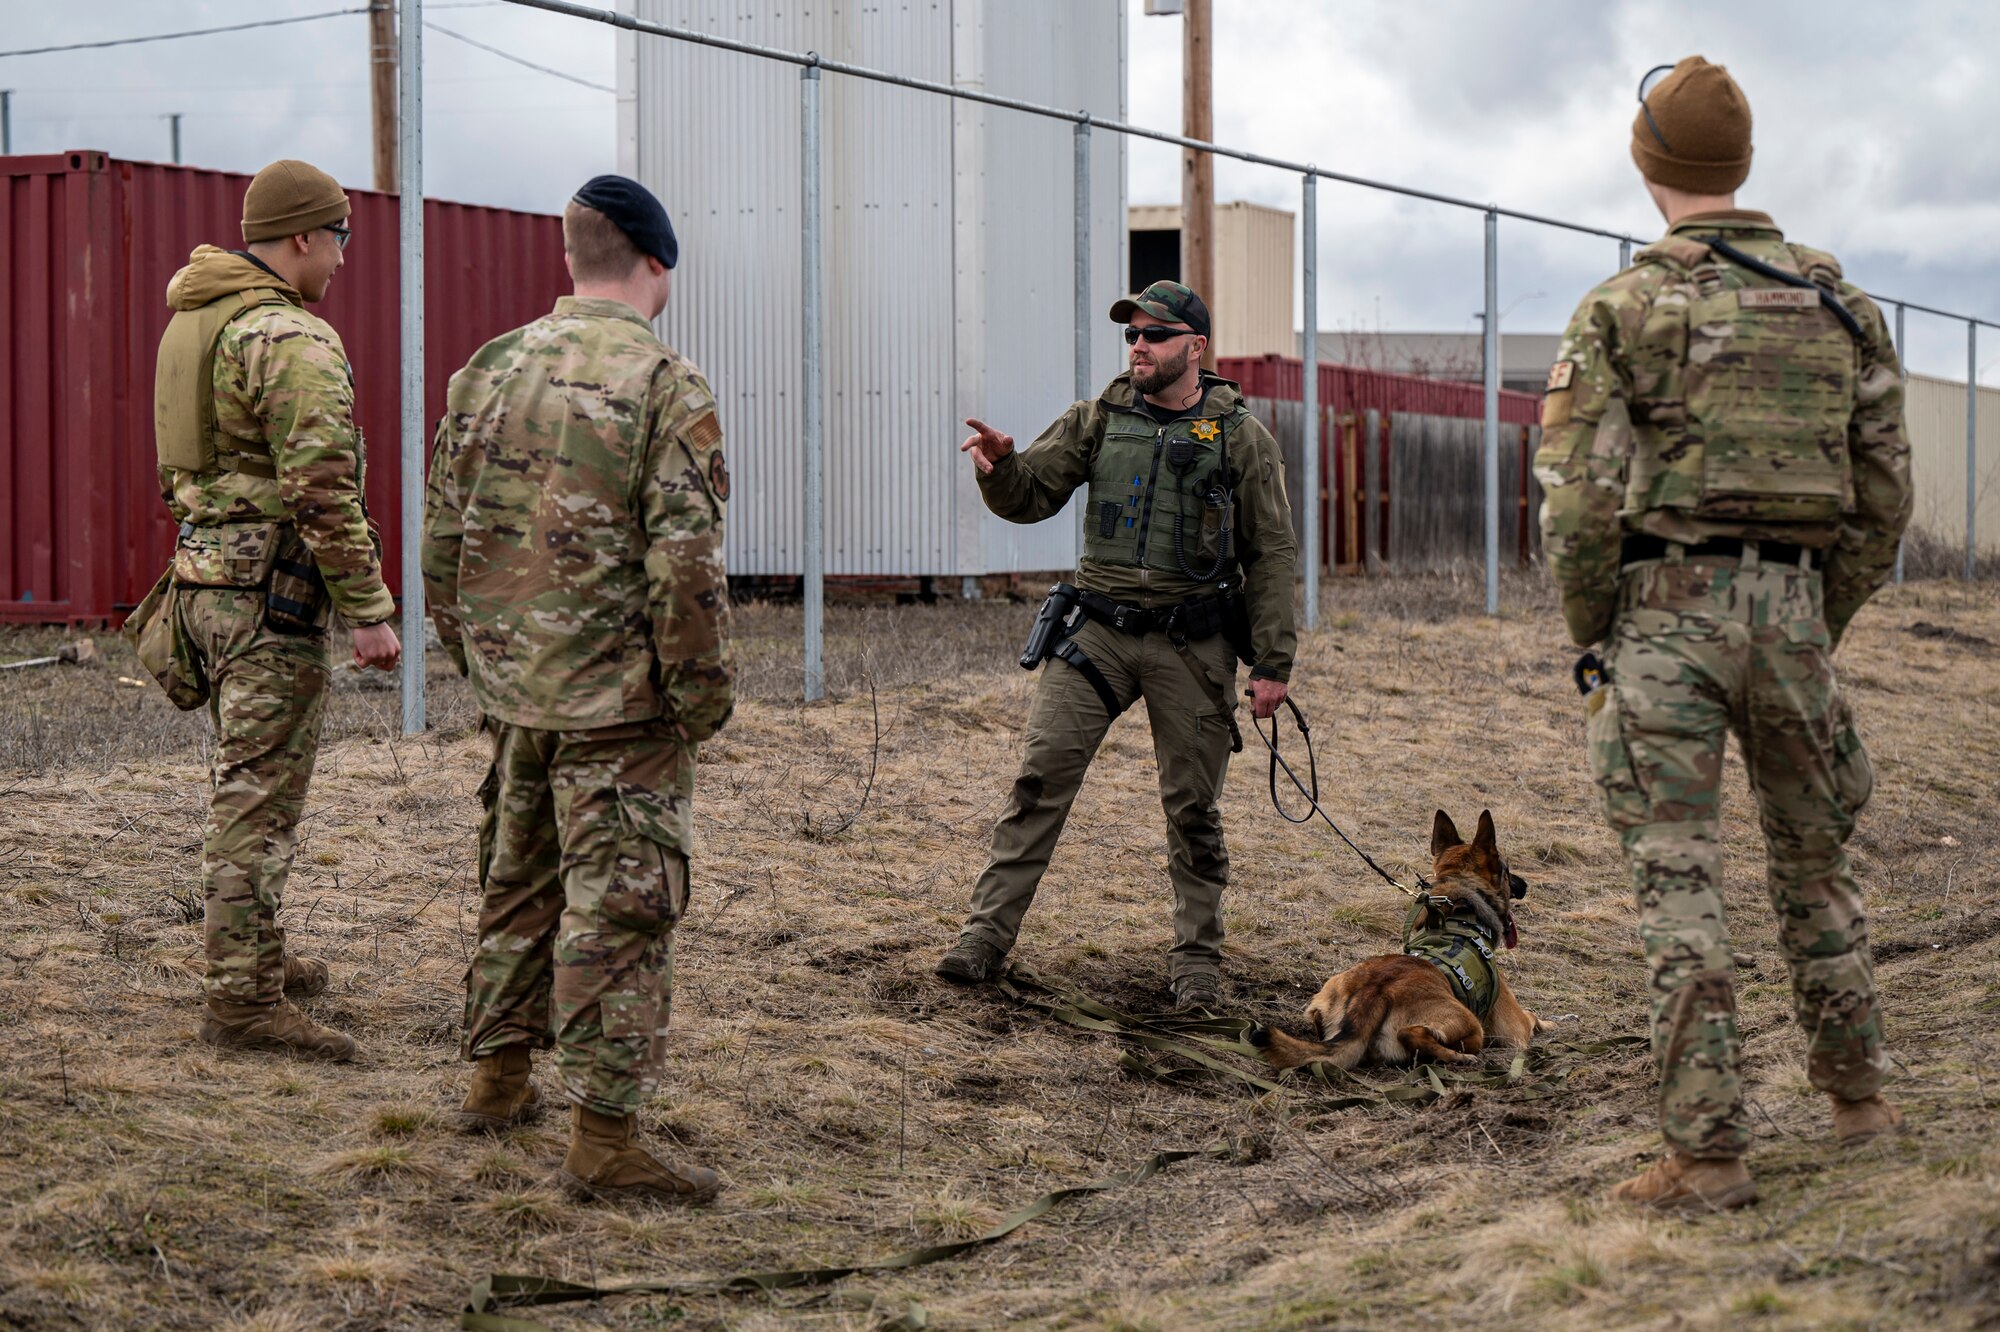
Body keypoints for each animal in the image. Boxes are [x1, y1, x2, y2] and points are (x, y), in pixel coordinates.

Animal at [1248, 808, 1544, 1072]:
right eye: (1507, 870)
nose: (1525, 885)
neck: (1461, 909)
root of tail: (1373, 993)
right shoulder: (1514, 1029)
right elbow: (1532, 1017)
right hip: (1470, 1024)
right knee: (1413, 1034)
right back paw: (1458, 1057)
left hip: (1322, 1000)